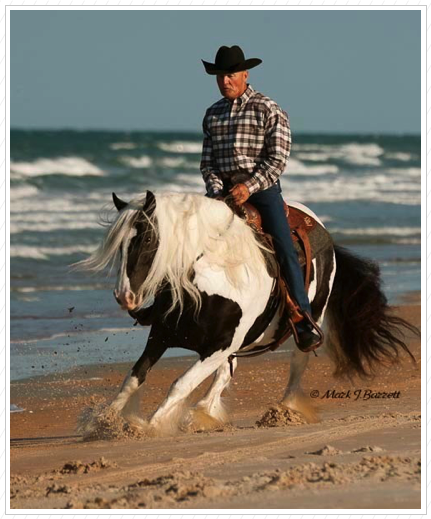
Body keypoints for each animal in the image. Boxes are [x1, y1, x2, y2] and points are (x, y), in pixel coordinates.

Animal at [74, 189, 418, 436]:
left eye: (146, 238)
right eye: (120, 245)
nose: (124, 296)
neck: (208, 277)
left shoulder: (218, 347)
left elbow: (180, 383)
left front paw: (150, 425)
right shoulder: (161, 336)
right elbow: (134, 377)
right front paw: (103, 421)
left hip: (311, 322)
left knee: (297, 364)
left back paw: (283, 411)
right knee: (225, 375)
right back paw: (203, 414)